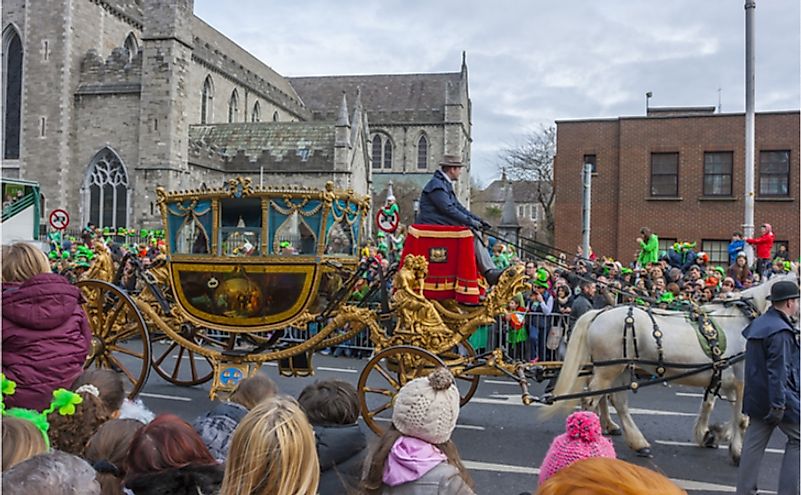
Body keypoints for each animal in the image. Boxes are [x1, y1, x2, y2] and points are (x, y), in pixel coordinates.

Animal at [544, 276, 792, 464]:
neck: (744, 321)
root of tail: (599, 313)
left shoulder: (721, 375)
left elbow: (711, 406)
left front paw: (710, 433)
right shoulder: (743, 381)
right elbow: (741, 419)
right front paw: (736, 451)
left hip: (619, 367)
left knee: (616, 401)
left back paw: (636, 442)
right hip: (609, 369)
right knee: (591, 399)